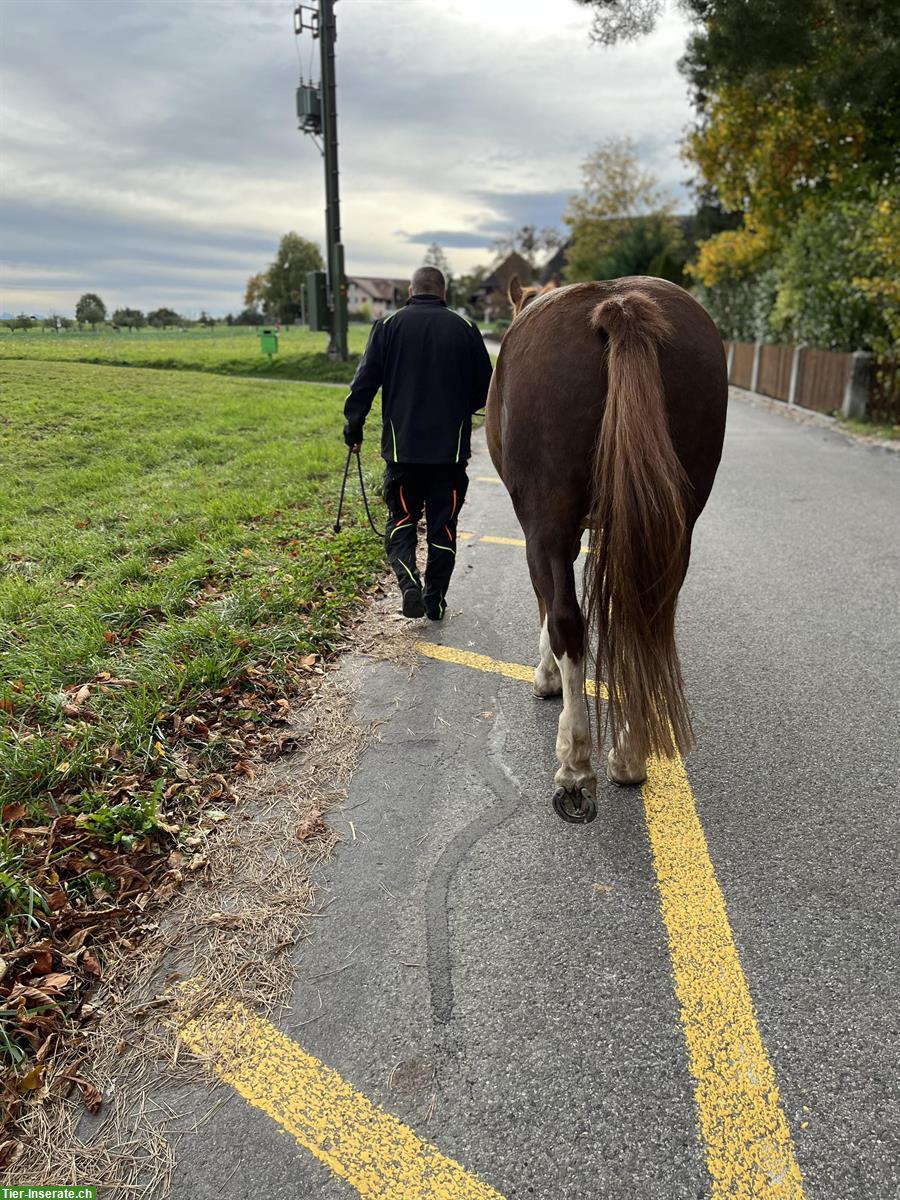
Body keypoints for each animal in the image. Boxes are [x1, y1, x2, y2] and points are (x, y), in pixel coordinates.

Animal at [482, 278, 729, 825]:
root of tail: (619, 306)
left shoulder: (546, 532)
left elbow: (547, 608)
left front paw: (547, 676)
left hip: (547, 521)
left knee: (568, 621)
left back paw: (576, 766)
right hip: (674, 525)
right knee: (642, 618)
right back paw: (629, 755)